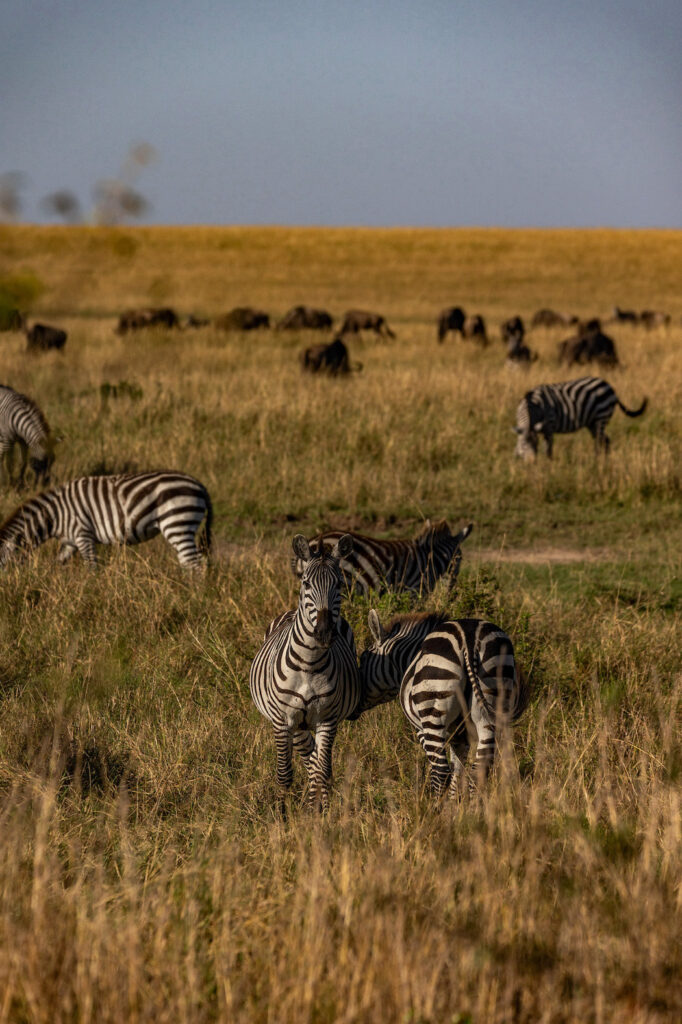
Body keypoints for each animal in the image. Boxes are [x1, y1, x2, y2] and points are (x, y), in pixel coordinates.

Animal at [0, 471, 212, 569]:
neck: (57, 514)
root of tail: (200, 485)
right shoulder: (69, 542)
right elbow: (57, 564)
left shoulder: (83, 535)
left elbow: (91, 567)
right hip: (181, 528)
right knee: (188, 562)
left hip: (177, 523)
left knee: (195, 563)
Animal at [250, 533, 360, 812]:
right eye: (307, 583)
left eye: (339, 584)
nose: (324, 634)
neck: (310, 664)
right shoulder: (282, 720)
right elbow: (284, 773)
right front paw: (281, 814)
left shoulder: (328, 720)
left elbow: (322, 771)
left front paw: (320, 814)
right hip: (297, 724)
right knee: (307, 759)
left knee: (318, 766)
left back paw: (316, 806)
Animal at [359, 611, 526, 796]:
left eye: (363, 657)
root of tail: (469, 640)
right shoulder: (459, 734)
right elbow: (458, 770)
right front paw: (454, 802)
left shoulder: (420, 728)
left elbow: (442, 769)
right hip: (492, 699)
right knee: (478, 771)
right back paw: (475, 804)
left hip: (433, 709)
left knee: (441, 772)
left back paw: (434, 804)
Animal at [513, 376, 647, 460]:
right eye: (524, 444)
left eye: (534, 445)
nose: (532, 463)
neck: (532, 406)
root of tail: (610, 388)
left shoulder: (549, 425)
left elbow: (548, 449)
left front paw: (548, 466)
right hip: (592, 423)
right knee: (606, 440)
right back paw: (605, 461)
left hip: (601, 417)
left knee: (599, 442)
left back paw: (596, 461)